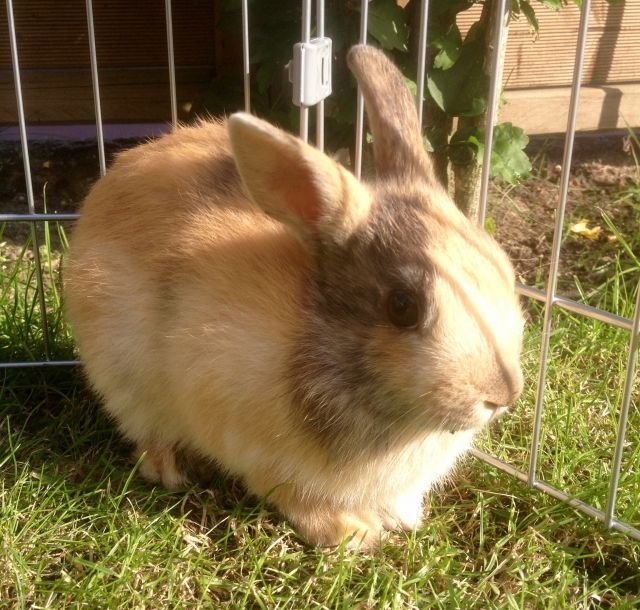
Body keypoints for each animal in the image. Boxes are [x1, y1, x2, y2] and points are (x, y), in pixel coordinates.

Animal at [64, 44, 524, 548]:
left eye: (503, 268)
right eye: (403, 306)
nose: (502, 394)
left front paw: (403, 517)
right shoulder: (254, 444)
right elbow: (293, 495)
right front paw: (352, 534)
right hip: (126, 379)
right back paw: (170, 470)